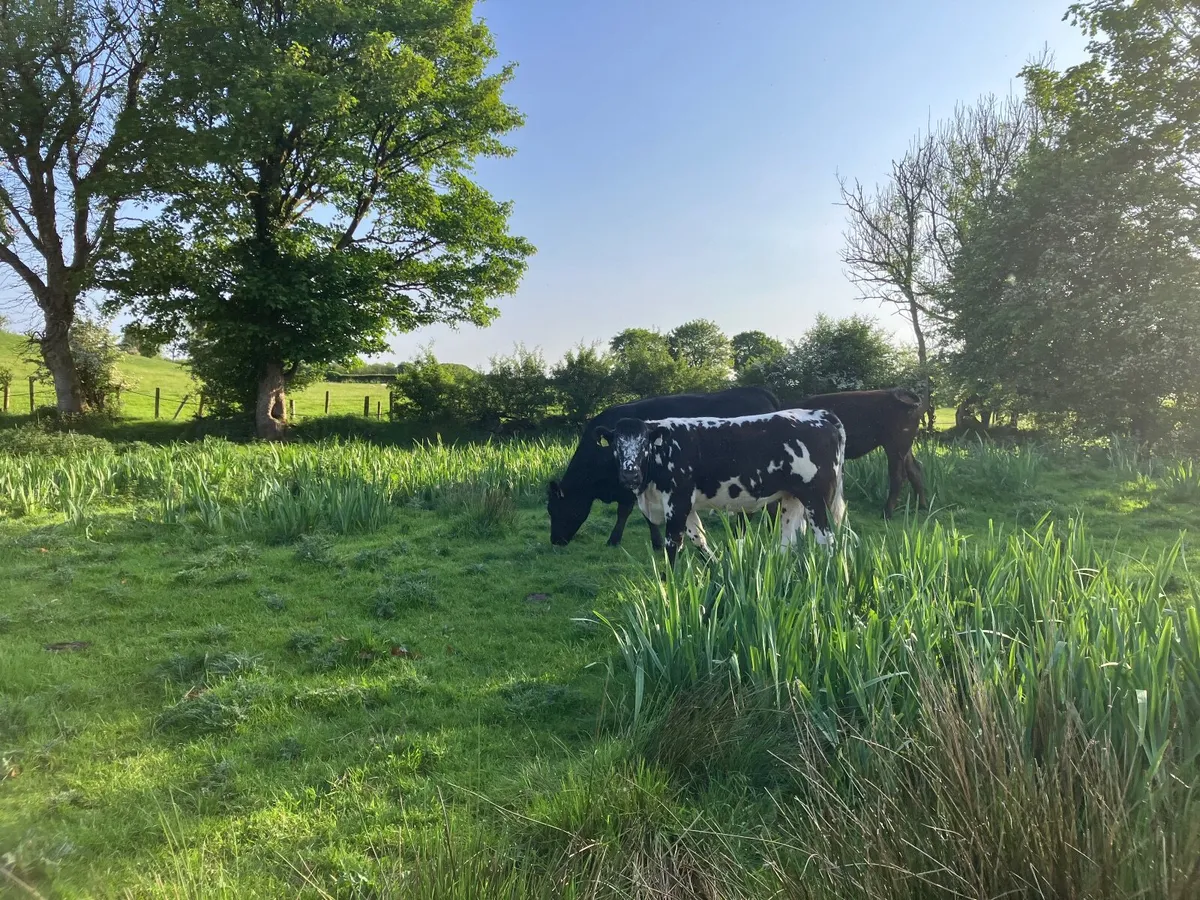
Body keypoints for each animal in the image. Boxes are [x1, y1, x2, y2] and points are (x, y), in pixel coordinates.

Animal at [595, 408, 847, 567]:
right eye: (616, 444)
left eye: (644, 443)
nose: (630, 473)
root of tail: (818, 414)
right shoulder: (684, 506)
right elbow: (698, 538)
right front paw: (716, 567)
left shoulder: (677, 502)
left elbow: (672, 546)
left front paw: (670, 591)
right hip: (791, 498)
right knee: (788, 541)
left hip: (817, 499)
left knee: (827, 541)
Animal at [795, 388, 927, 518]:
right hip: (904, 447)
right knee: (914, 470)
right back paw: (922, 507)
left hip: (895, 445)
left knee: (898, 476)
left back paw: (886, 513)